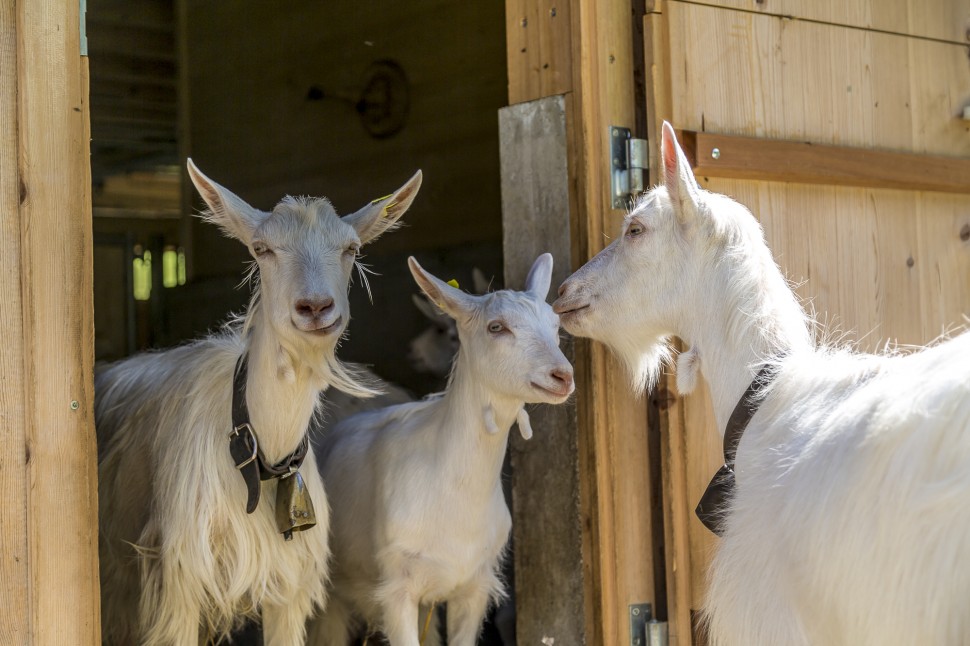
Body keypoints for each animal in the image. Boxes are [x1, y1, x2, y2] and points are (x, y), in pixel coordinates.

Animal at [94, 159, 420, 644]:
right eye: (262, 248)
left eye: (351, 248)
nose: (315, 307)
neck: (258, 447)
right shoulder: (177, 583)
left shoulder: (287, 585)